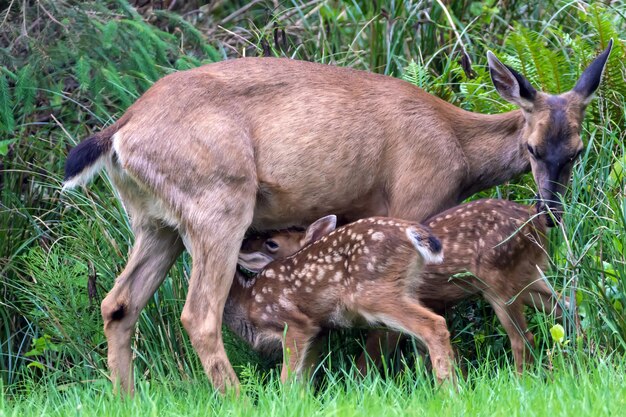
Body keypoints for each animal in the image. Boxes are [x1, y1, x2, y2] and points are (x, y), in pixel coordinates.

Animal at [63, 40, 608, 392]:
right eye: (532, 149)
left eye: (578, 151)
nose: (550, 213)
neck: (458, 148)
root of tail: (119, 130)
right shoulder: (415, 197)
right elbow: (391, 318)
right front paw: (369, 381)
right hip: (219, 201)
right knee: (198, 313)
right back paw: (237, 399)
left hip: (155, 222)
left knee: (118, 304)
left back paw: (127, 398)